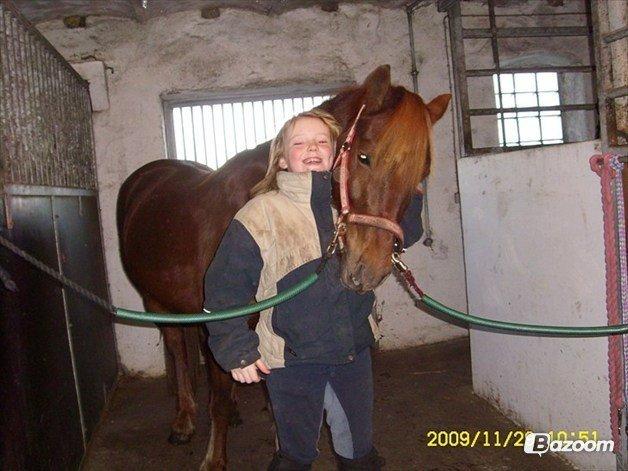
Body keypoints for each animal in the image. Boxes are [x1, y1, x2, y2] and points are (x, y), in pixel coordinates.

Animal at [116, 65, 452, 468]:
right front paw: (214, 459)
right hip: (156, 302)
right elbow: (218, 390)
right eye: (364, 157)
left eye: (422, 174)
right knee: (179, 353)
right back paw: (183, 421)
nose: (366, 270)